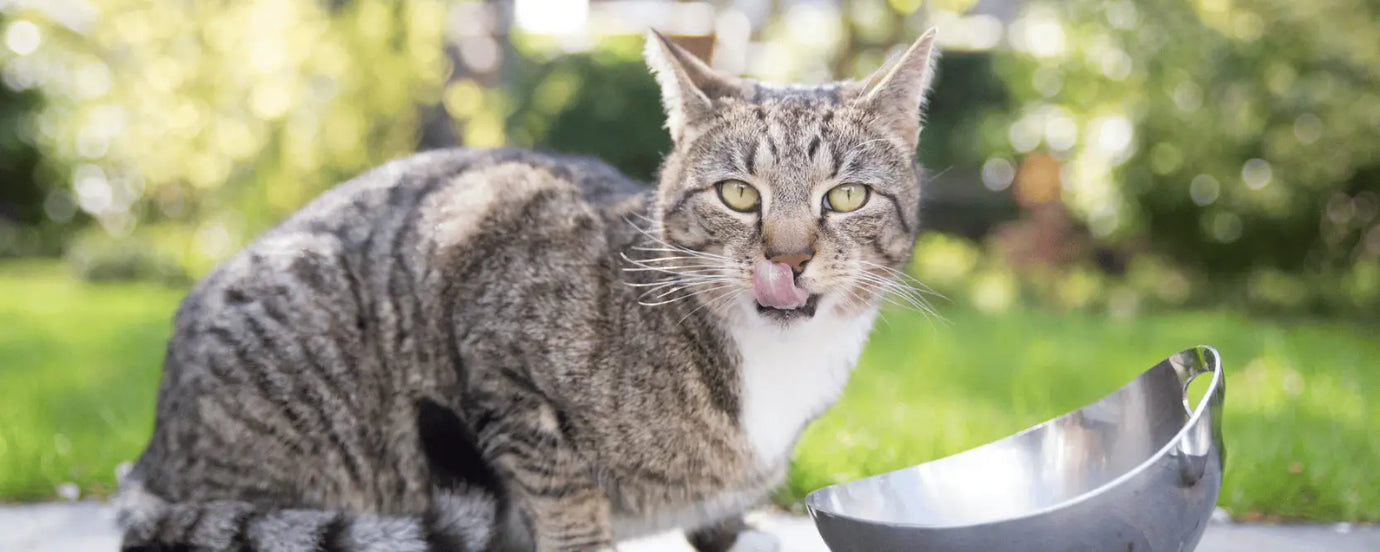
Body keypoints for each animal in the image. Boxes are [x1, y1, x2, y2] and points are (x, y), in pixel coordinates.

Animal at [115, 29, 938, 552]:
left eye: (845, 197)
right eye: (738, 195)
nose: (787, 256)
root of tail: (148, 460)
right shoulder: (490, 277)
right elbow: (562, 492)